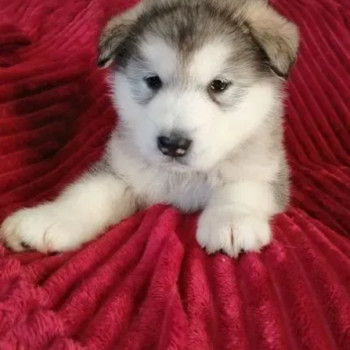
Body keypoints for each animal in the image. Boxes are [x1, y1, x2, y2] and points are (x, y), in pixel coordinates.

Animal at [1, 0, 300, 258]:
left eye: (219, 85)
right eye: (152, 81)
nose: (173, 144)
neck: (183, 179)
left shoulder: (267, 165)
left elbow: (243, 185)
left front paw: (232, 218)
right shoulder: (124, 172)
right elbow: (87, 193)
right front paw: (48, 219)